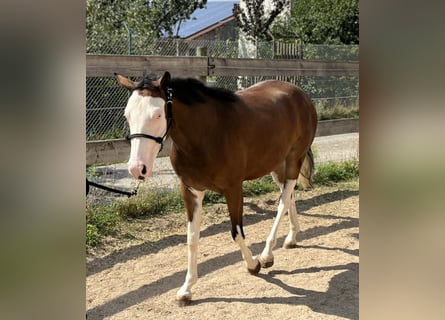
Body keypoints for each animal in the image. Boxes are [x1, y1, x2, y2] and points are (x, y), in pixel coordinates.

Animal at [114, 72, 316, 304]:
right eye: (127, 115)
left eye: (157, 114)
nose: (137, 168)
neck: (206, 135)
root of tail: (299, 93)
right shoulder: (190, 191)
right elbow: (192, 239)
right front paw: (186, 289)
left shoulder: (234, 189)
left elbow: (237, 232)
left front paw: (253, 265)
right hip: (276, 164)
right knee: (288, 195)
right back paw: (291, 239)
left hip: (294, 159)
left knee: (283, 201)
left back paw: (266, 255)